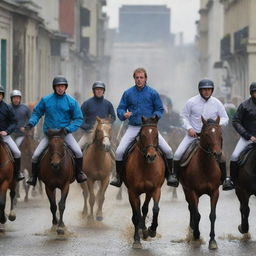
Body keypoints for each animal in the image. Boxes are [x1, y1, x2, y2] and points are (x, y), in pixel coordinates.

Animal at [124, 115, 165, 248]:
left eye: (156, 135)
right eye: (142, 135)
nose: (151, 156)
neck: (145, 166)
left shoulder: (155, 189)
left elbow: (155, 209)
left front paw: (152, 230)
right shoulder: (132, 192)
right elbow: (136, 216)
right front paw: (137, 239)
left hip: (148, 192)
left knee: (144, 208)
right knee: (137, 212)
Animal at [180, 117, 222, 250]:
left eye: (220, 133)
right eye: (207, 134)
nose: (217, 154)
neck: (205, 167)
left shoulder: (215, 192)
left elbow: (212, 215)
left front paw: (212, 241)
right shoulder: (192, 192)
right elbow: (197, 214)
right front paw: (196, 236)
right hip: (186, 190)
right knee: (192, 209)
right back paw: (192, 230)